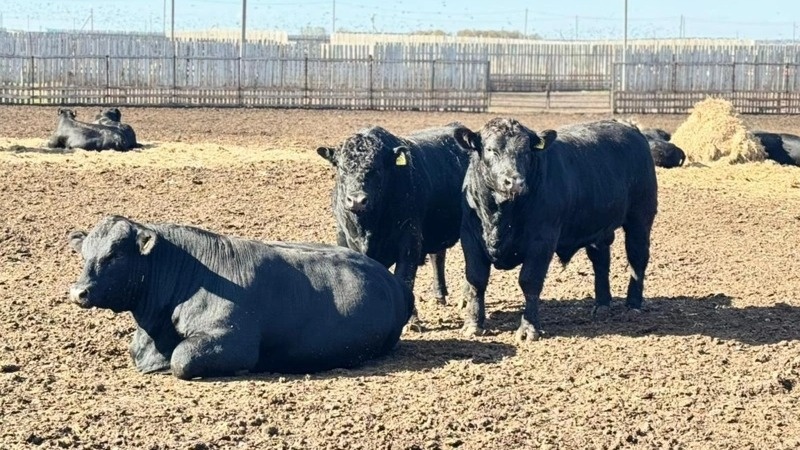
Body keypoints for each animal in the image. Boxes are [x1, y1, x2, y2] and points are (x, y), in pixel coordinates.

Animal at [67, 215, 414, 380]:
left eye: (114, 254)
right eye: (84, 253)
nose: (78, 291)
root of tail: (392, 281)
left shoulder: (233, 339)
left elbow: (181, 359)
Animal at [316, 123, 471, 331]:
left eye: (377, 169)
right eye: (341, 168)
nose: (356, 200)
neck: (368, 227)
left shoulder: (409, 243)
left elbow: (404, 279)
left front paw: (411, 322)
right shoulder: (344, 238)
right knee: (438, 256)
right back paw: (439, 296)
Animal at [454, 118, 658, 342]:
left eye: (526, 151)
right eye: (491, 149)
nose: (514, 181)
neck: (500, 214)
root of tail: (628, 127)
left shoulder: (542, 241)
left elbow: (529, 281)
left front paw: (529, 328)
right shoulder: (470, 237)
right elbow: (476, 280)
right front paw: (473, 324)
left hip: (640, 219)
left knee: (637, 259)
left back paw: (633, 305)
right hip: (598, 229)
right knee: (601, 263)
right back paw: (602, 304)